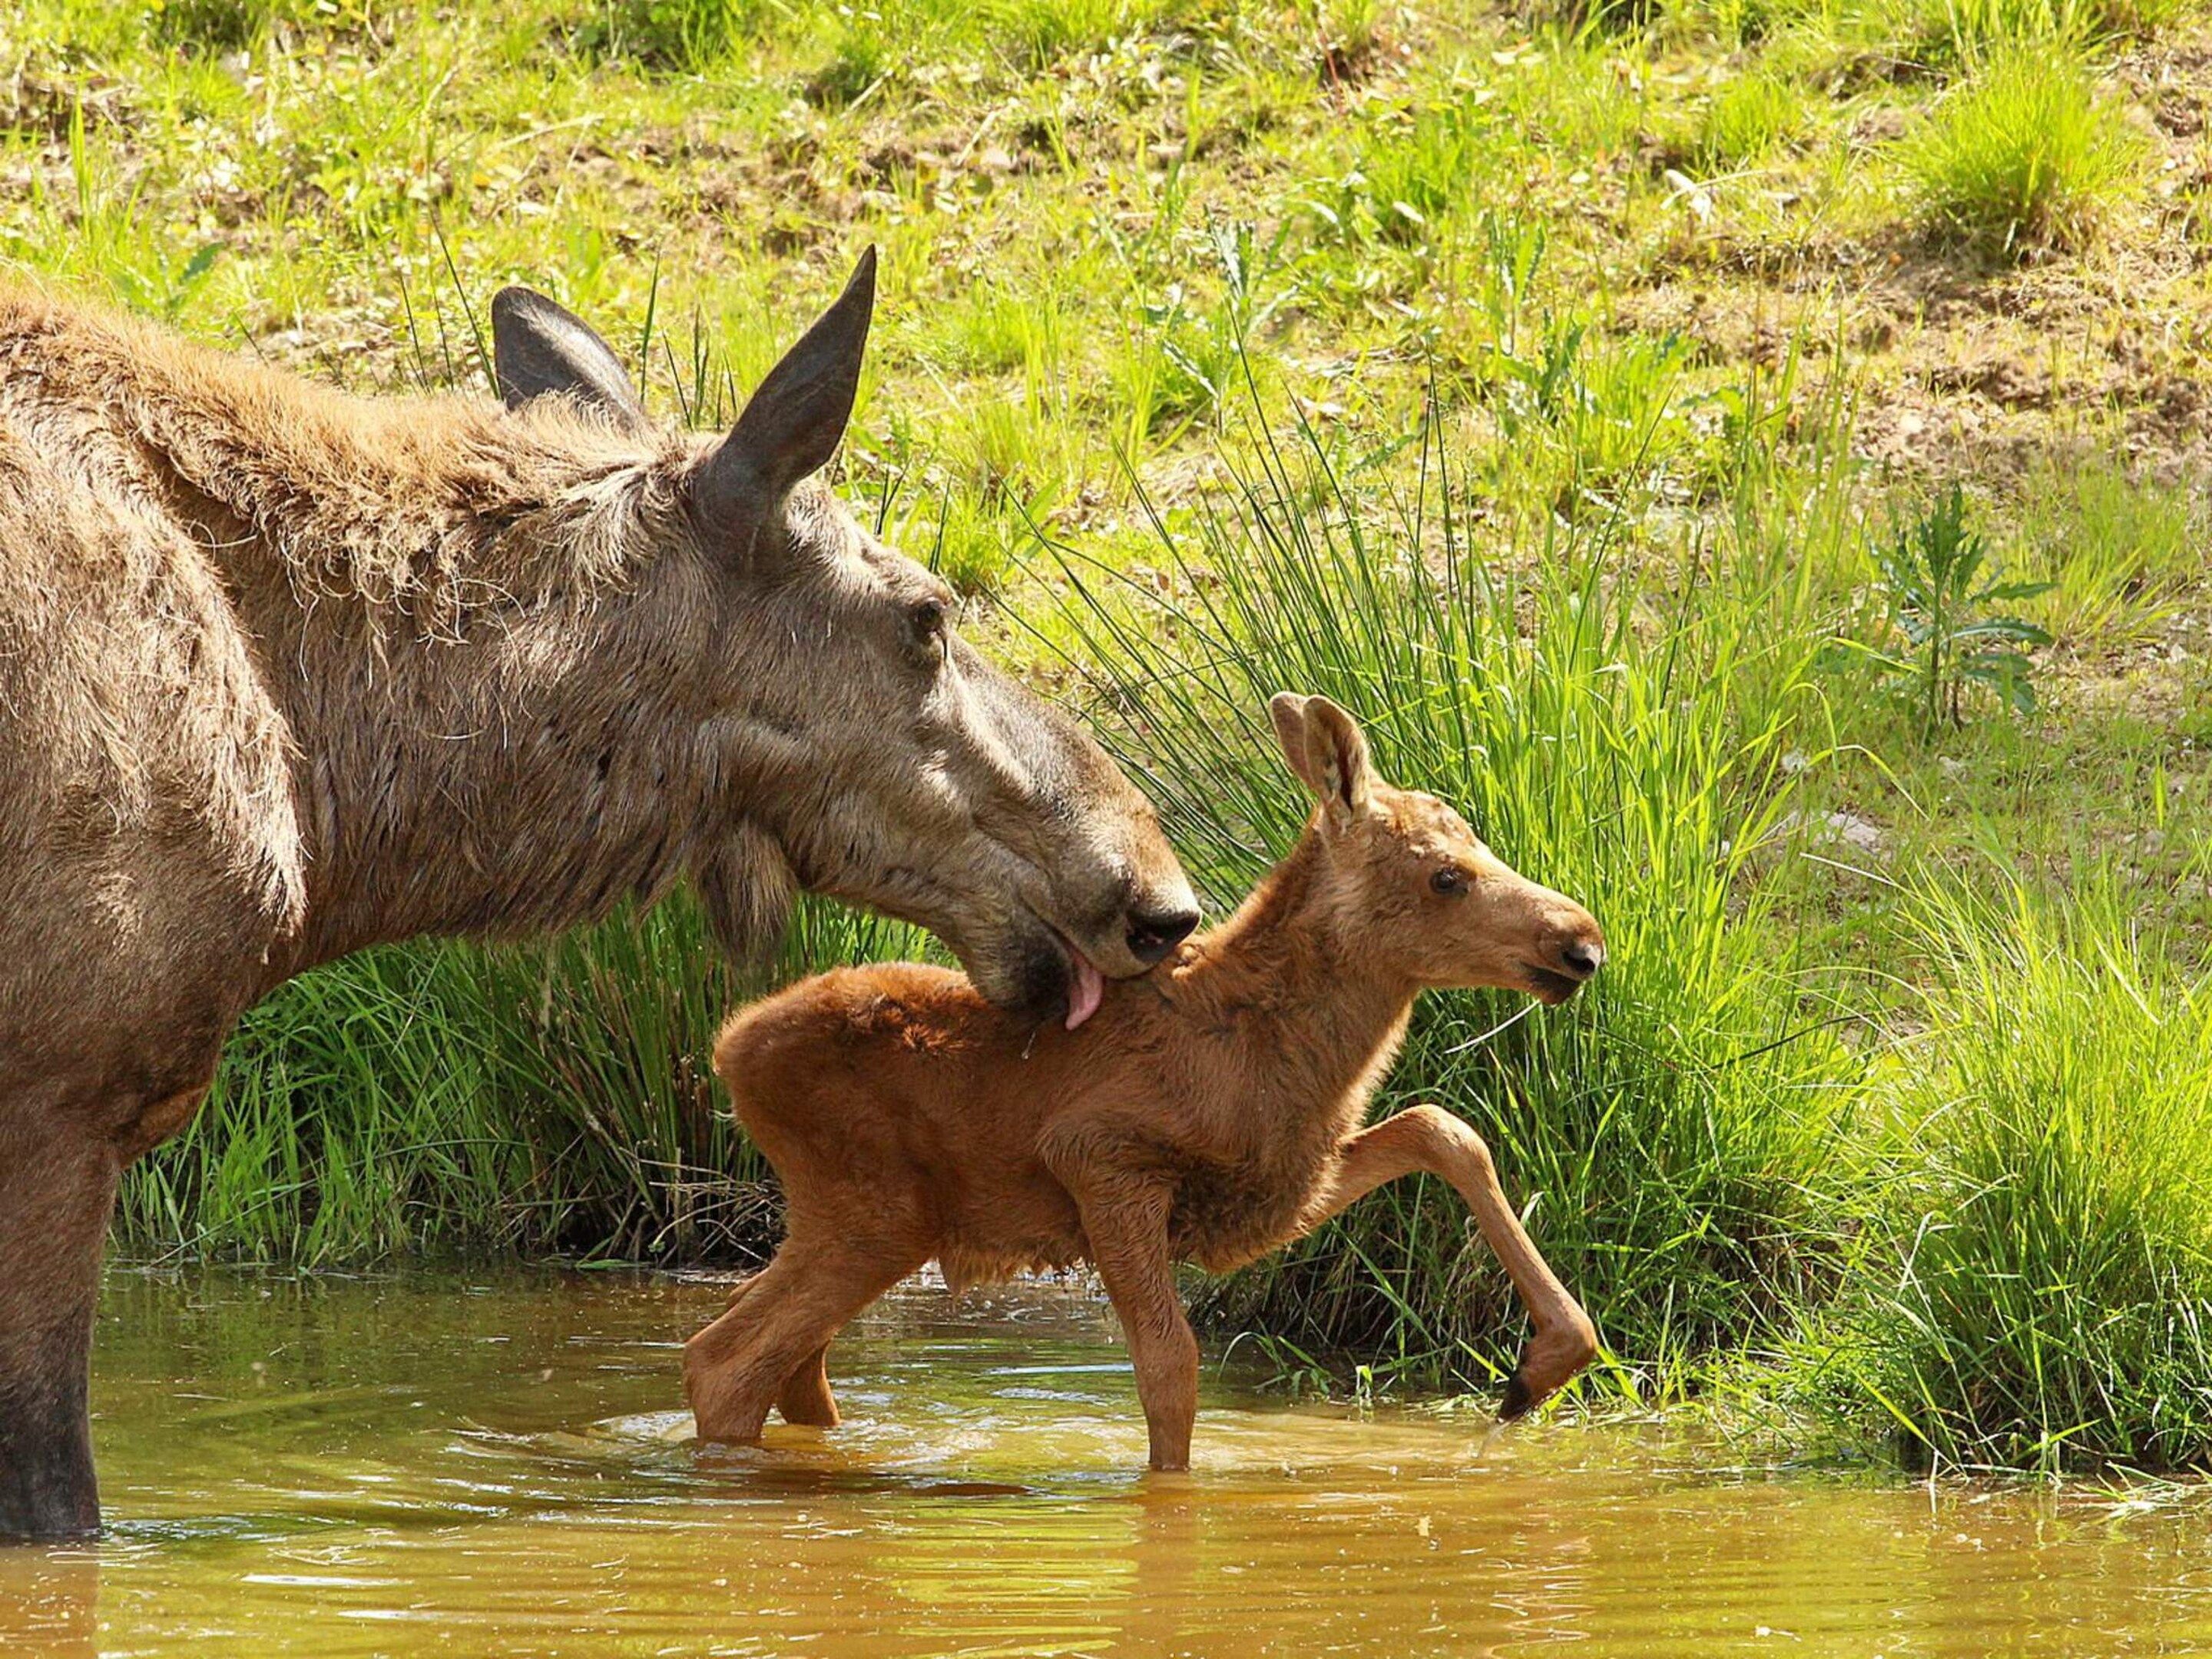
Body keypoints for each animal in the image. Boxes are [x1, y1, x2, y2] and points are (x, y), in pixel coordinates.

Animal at [686, 692, 1605, 1470]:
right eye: (1446, 875)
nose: (1582, 943)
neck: (1275, 1052)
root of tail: (727, 1049)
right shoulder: (1102, 1158)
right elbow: (1170, 1367)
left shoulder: (1277, 1187)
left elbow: (1442, 1128)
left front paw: (1543, 1365)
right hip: (873, 1212)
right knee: (725, 1362)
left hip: (859, 1220)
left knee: (778, 1359)